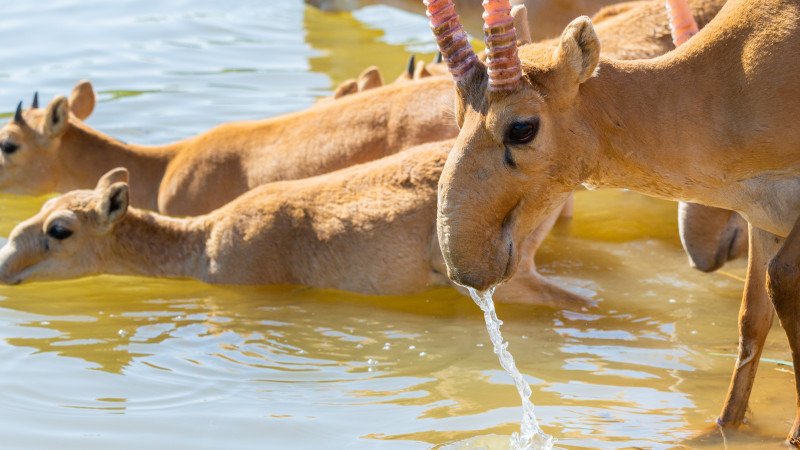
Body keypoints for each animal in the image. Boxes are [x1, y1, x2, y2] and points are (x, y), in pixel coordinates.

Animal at [428, 0, 800, 444]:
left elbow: (784, 281)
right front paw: (720, 430)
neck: (736, 74)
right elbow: (752, 319)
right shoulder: (764, 217)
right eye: (456, 114)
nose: (465, 266)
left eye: (521, 128)